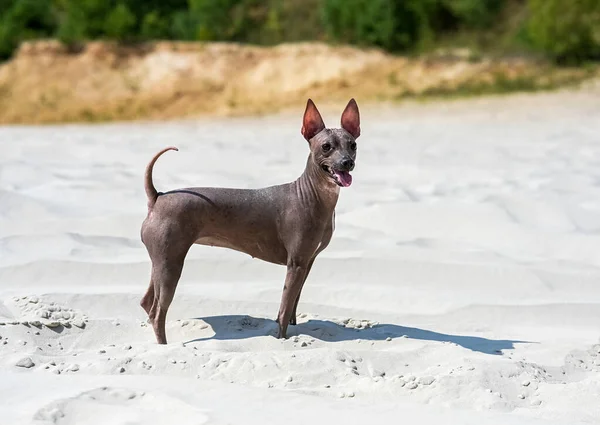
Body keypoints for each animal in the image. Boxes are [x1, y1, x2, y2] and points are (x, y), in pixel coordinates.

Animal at [139, 97, 360, 342]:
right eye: (326, 147)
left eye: (352, 145)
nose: (347, 162)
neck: (311, 194)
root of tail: (157, 197)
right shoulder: (295, 264)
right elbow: (284, 309)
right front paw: (281, 339)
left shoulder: (307, 262)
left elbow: (294, 302)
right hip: (171, 265)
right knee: (157, 312)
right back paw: (164, 345)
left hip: (161, 261)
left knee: (147, 303)